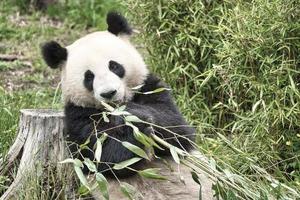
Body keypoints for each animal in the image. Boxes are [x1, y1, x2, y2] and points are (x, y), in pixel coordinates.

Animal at [41, 12, 195, 177]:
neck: (114, 109)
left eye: (114, 66)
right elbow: (103, 154)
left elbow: (177, 129)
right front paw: (136, 128)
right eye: (89, 77)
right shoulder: (79, 114)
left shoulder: (148, 87)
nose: (109, 93)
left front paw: (134, 115)